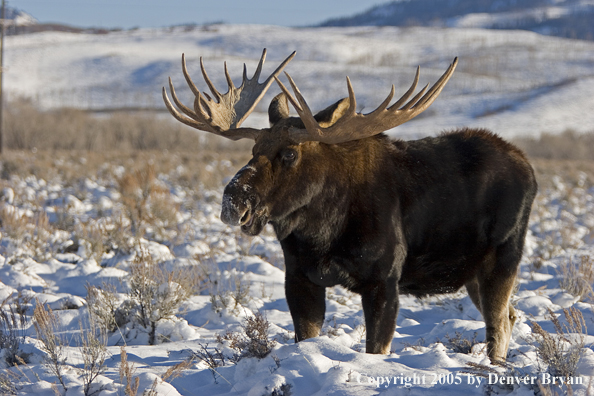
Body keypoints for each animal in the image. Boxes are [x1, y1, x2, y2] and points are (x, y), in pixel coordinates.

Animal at [162, 49, 536, 362]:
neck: (321, 231)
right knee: (511, 316)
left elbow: (376, 350)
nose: (233, 201)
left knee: (498, 325)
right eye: (254, 151)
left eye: (290, 153)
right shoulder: (299, 278)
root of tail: (529, 169)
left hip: (502, 260)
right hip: (473, 274)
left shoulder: (384, 281)